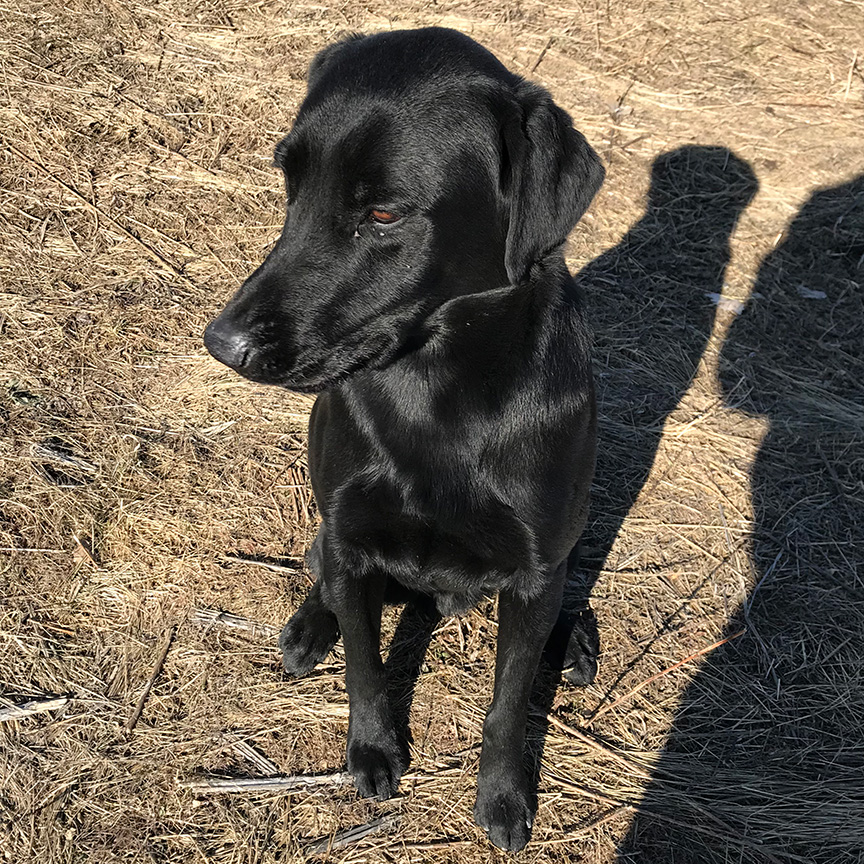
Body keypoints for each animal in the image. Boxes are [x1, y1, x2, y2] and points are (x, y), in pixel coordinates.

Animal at [206, 27, 604, 852]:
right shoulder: (354, 542)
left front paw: (503, 797)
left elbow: (508, 702)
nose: (221, 345)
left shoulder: (533, 571)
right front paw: (371, 752)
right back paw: (307, 627)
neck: (438, 393)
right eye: (290, 184)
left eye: (384, 215)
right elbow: (365, 664)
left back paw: (574, 642)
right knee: (319, 570)